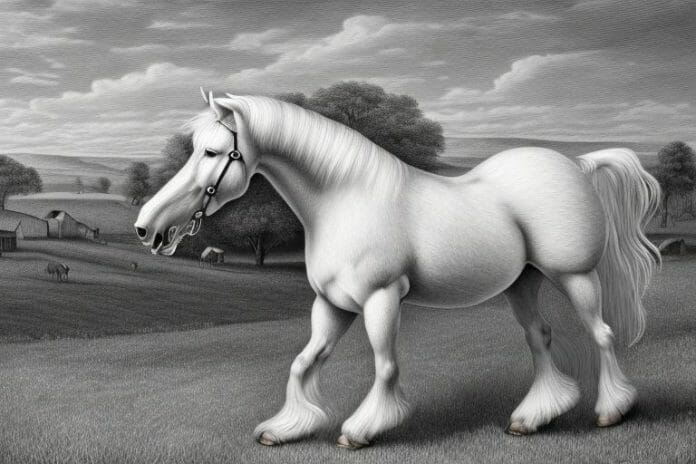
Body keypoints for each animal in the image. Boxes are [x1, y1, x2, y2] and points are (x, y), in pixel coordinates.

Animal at [134, 92, 660, 449]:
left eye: (211, 152)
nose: (148, 229)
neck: (345, 200)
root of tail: (576, 164)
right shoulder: (333, 305)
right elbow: (303, 363)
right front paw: (285, 428)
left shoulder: (381, 298)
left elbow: (385, 364)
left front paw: (363, 429)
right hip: (522, 283)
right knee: (540, 337)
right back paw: (532, 418)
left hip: (575, 277)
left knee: (602, 335)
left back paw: (611, 412)